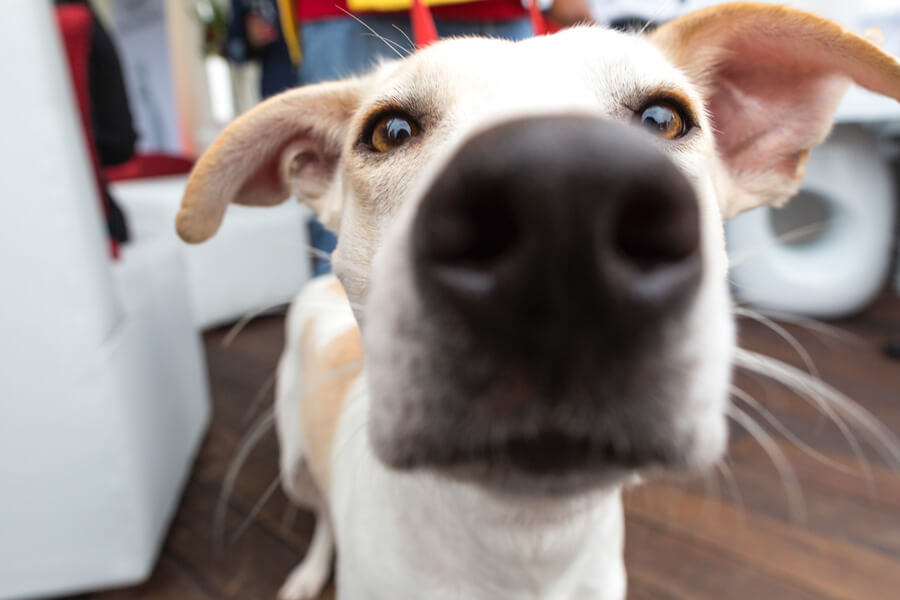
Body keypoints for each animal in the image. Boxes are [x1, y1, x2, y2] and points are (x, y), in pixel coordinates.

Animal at [172, 3, 900, 596]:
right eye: (390, 132)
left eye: (665, 118)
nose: (561, 191)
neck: (524, 543)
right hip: (294, 457)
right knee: (320, 512)